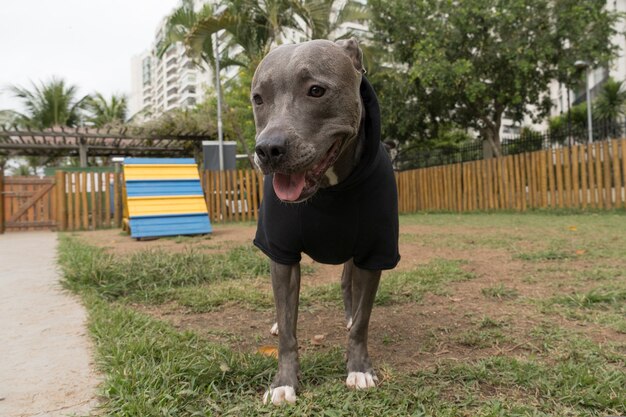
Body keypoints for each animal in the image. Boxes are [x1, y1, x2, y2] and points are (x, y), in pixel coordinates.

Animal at [250, 38, 400, 404]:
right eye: (258, 98)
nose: (268, 149)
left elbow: (362, 321)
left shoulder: (373, 254)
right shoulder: (281, 254)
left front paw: (359, 368)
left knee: (348, 287)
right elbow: (287, 330)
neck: (330, 189)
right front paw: (284, 382)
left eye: (316, 90)